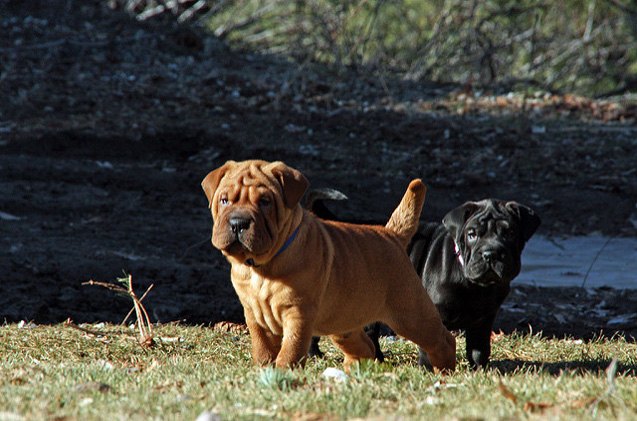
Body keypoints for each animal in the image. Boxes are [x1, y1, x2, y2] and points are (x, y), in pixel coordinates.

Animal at [201, 159, 454, 370]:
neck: (261, 268)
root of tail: (392, 235)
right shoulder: (254, 315)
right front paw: (263, 370)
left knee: (443, 340)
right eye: (224, 200)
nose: (238, 222)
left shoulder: (298, 313)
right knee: (365, 347)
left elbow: (290, 350)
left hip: (410, 313)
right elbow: (263, 350)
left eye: (265, 202)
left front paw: (282, 373)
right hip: (344, 322)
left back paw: (444, 373)